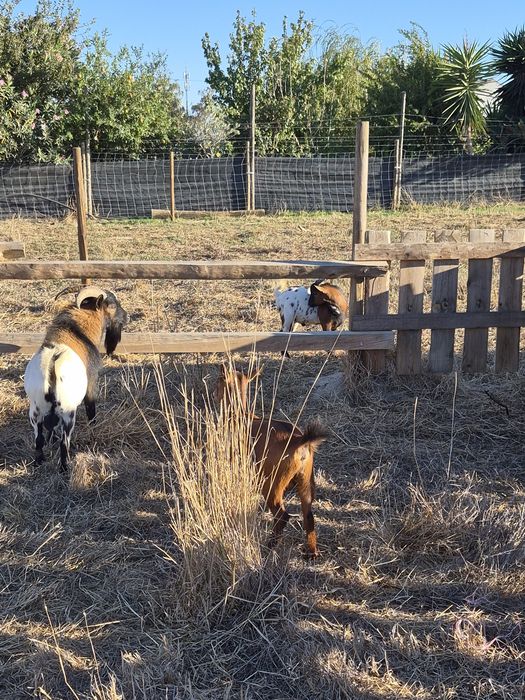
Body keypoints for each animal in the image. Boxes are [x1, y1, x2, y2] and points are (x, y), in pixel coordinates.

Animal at [24, 286, 128, 471]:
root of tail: (51, 366)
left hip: (35, 412)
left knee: (39, 440)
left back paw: (39, 463)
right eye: (112, 305)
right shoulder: (91, 381)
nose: (126, 316)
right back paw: (65, 468)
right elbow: (91, 408)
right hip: (68, 412)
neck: (77, 332)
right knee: (64, 443)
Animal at [215, 365, 328, 558]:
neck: (239, 415)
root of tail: (299, 440)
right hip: (306, 479)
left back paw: (269, 546)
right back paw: (311, 553)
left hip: (272, 484)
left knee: (282, 515)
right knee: (308, 514)